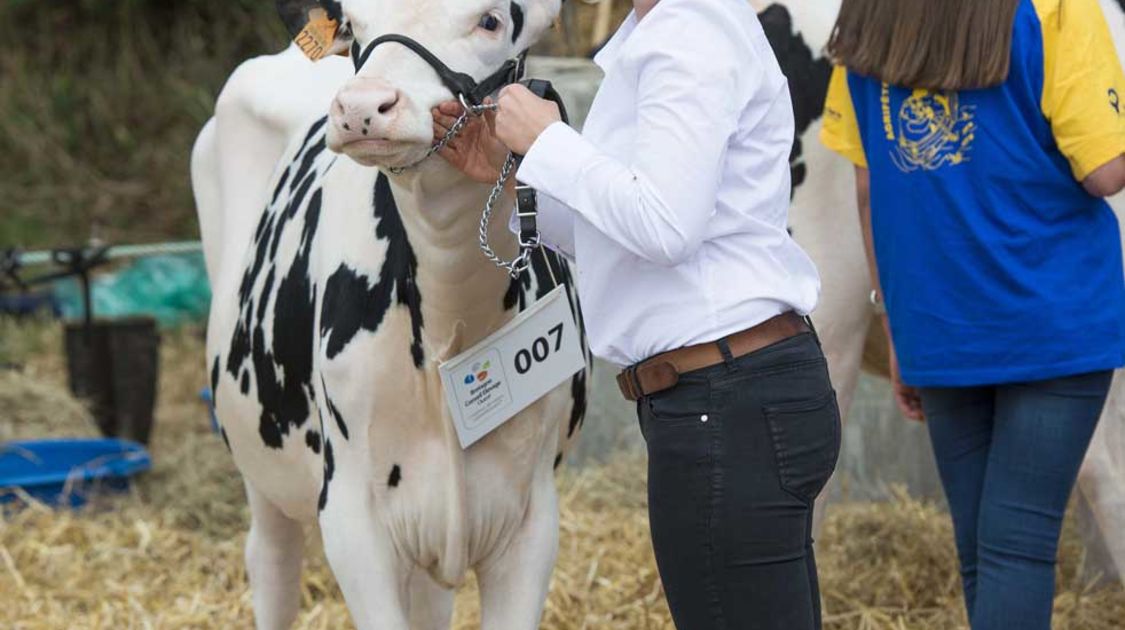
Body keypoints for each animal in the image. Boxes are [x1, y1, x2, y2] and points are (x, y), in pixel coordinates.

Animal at [190, 2, 589, 625]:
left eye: (491, 21)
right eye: (355, 24)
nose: (361, 107)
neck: (452, 327)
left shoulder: (533, 520)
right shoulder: (352, 518)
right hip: (256, 451)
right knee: (272, 561)